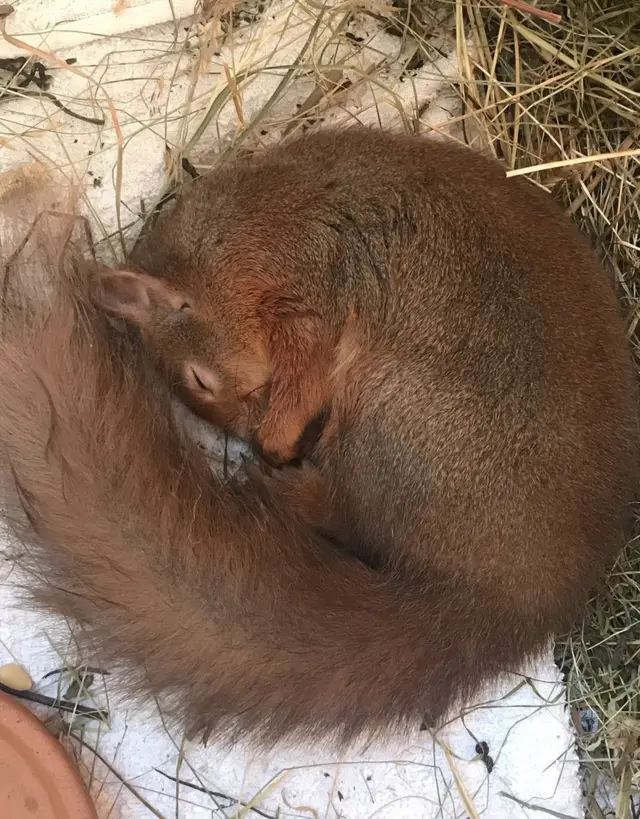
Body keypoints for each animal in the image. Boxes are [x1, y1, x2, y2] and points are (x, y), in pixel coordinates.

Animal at [0, 127, 636, 749]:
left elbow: (302, 371)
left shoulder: (309, 294)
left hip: (388, 417)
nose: (256, 440)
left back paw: (283, 486)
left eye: (198, 379)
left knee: (347, 518)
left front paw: (278, 439)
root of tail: (507, 597)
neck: (241, 231)